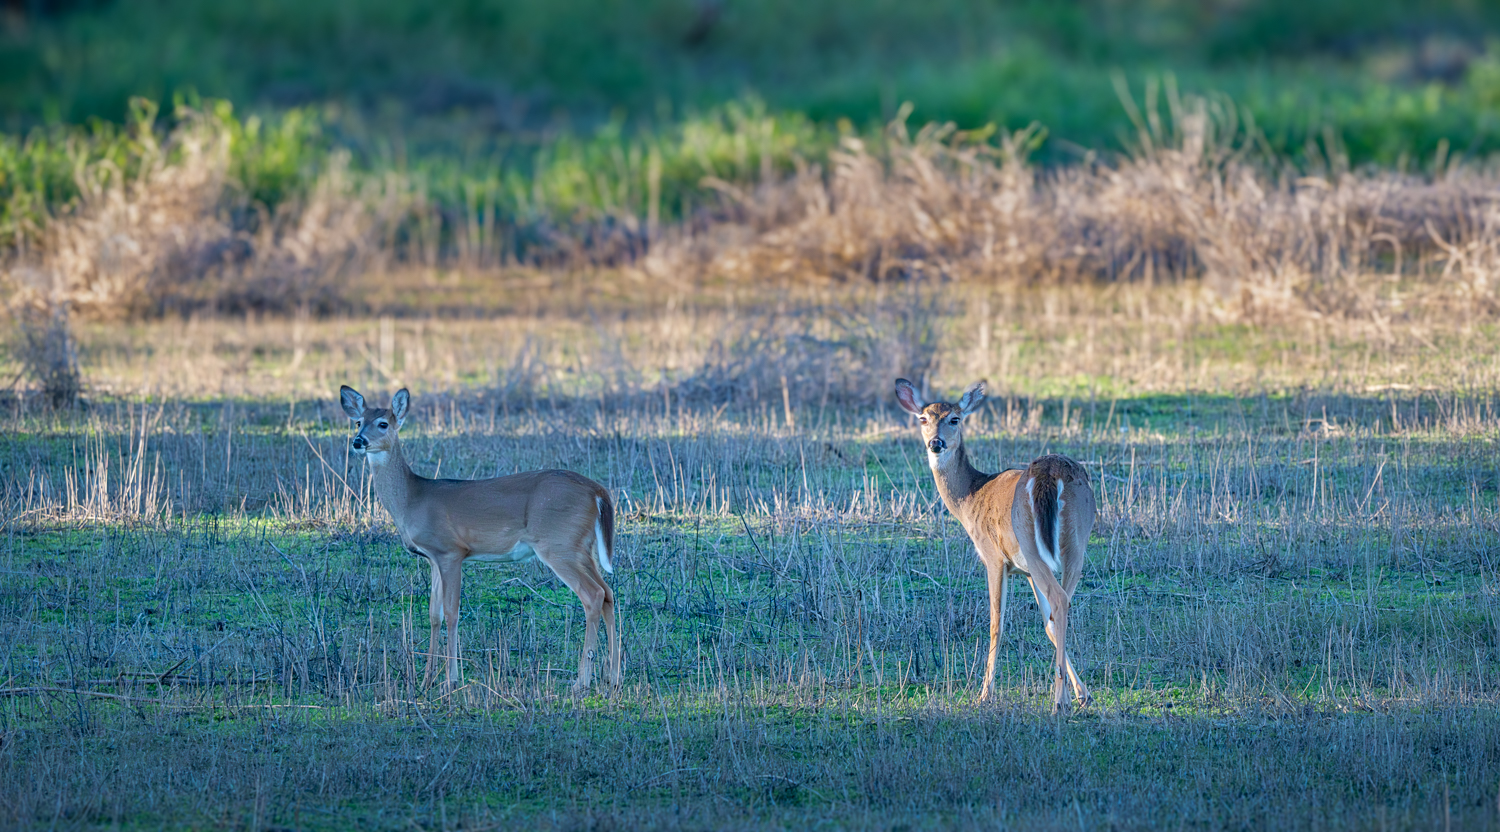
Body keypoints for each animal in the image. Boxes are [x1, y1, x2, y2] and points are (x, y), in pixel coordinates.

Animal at [340, 386, 621, 692]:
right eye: (358, 421)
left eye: (383, 423)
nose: (358, 441)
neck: (412, 499)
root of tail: (598, 491)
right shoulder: (433, 559)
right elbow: (434, 615)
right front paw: (426, 678)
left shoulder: (451, 551)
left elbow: (452, 612)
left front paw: (451, 679)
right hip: (582, 547)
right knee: (608, 592)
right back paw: (613, 675)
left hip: (558, 544)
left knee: (593, 594)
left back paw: (582, 681)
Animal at [894, 380, 1098, 713]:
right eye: (923, 419)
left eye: (955, 419)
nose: (936, 443)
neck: (970, 497)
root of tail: (1050, 473)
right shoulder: (1026, 572)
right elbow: (1048, 625)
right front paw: (1084, 692)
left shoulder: (993, 557)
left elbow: (995, 624)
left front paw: (984, 693)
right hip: (1077, 539)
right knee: (1065, 601)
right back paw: (1068, 696)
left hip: (1030, 541)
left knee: (1058, 599)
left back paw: (1058, 702)